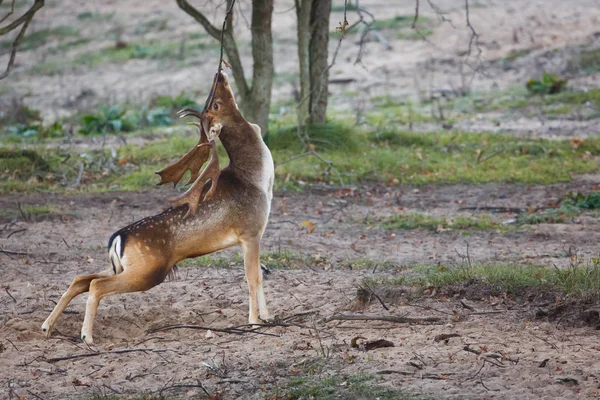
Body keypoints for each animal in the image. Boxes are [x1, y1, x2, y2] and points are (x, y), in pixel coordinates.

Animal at [42, 70, 274, 342]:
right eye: (216, 104)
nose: (219, 75)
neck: (259, 180)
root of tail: (116, 239)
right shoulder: (249, 231)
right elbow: (253, 278)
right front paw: (254, 322)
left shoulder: (255, 234)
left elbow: (259, 276)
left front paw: (268, 318)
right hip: (147, 271)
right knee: (96, 285)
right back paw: (86, 336)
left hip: (125, 267)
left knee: (81, 278)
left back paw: (47, 327)